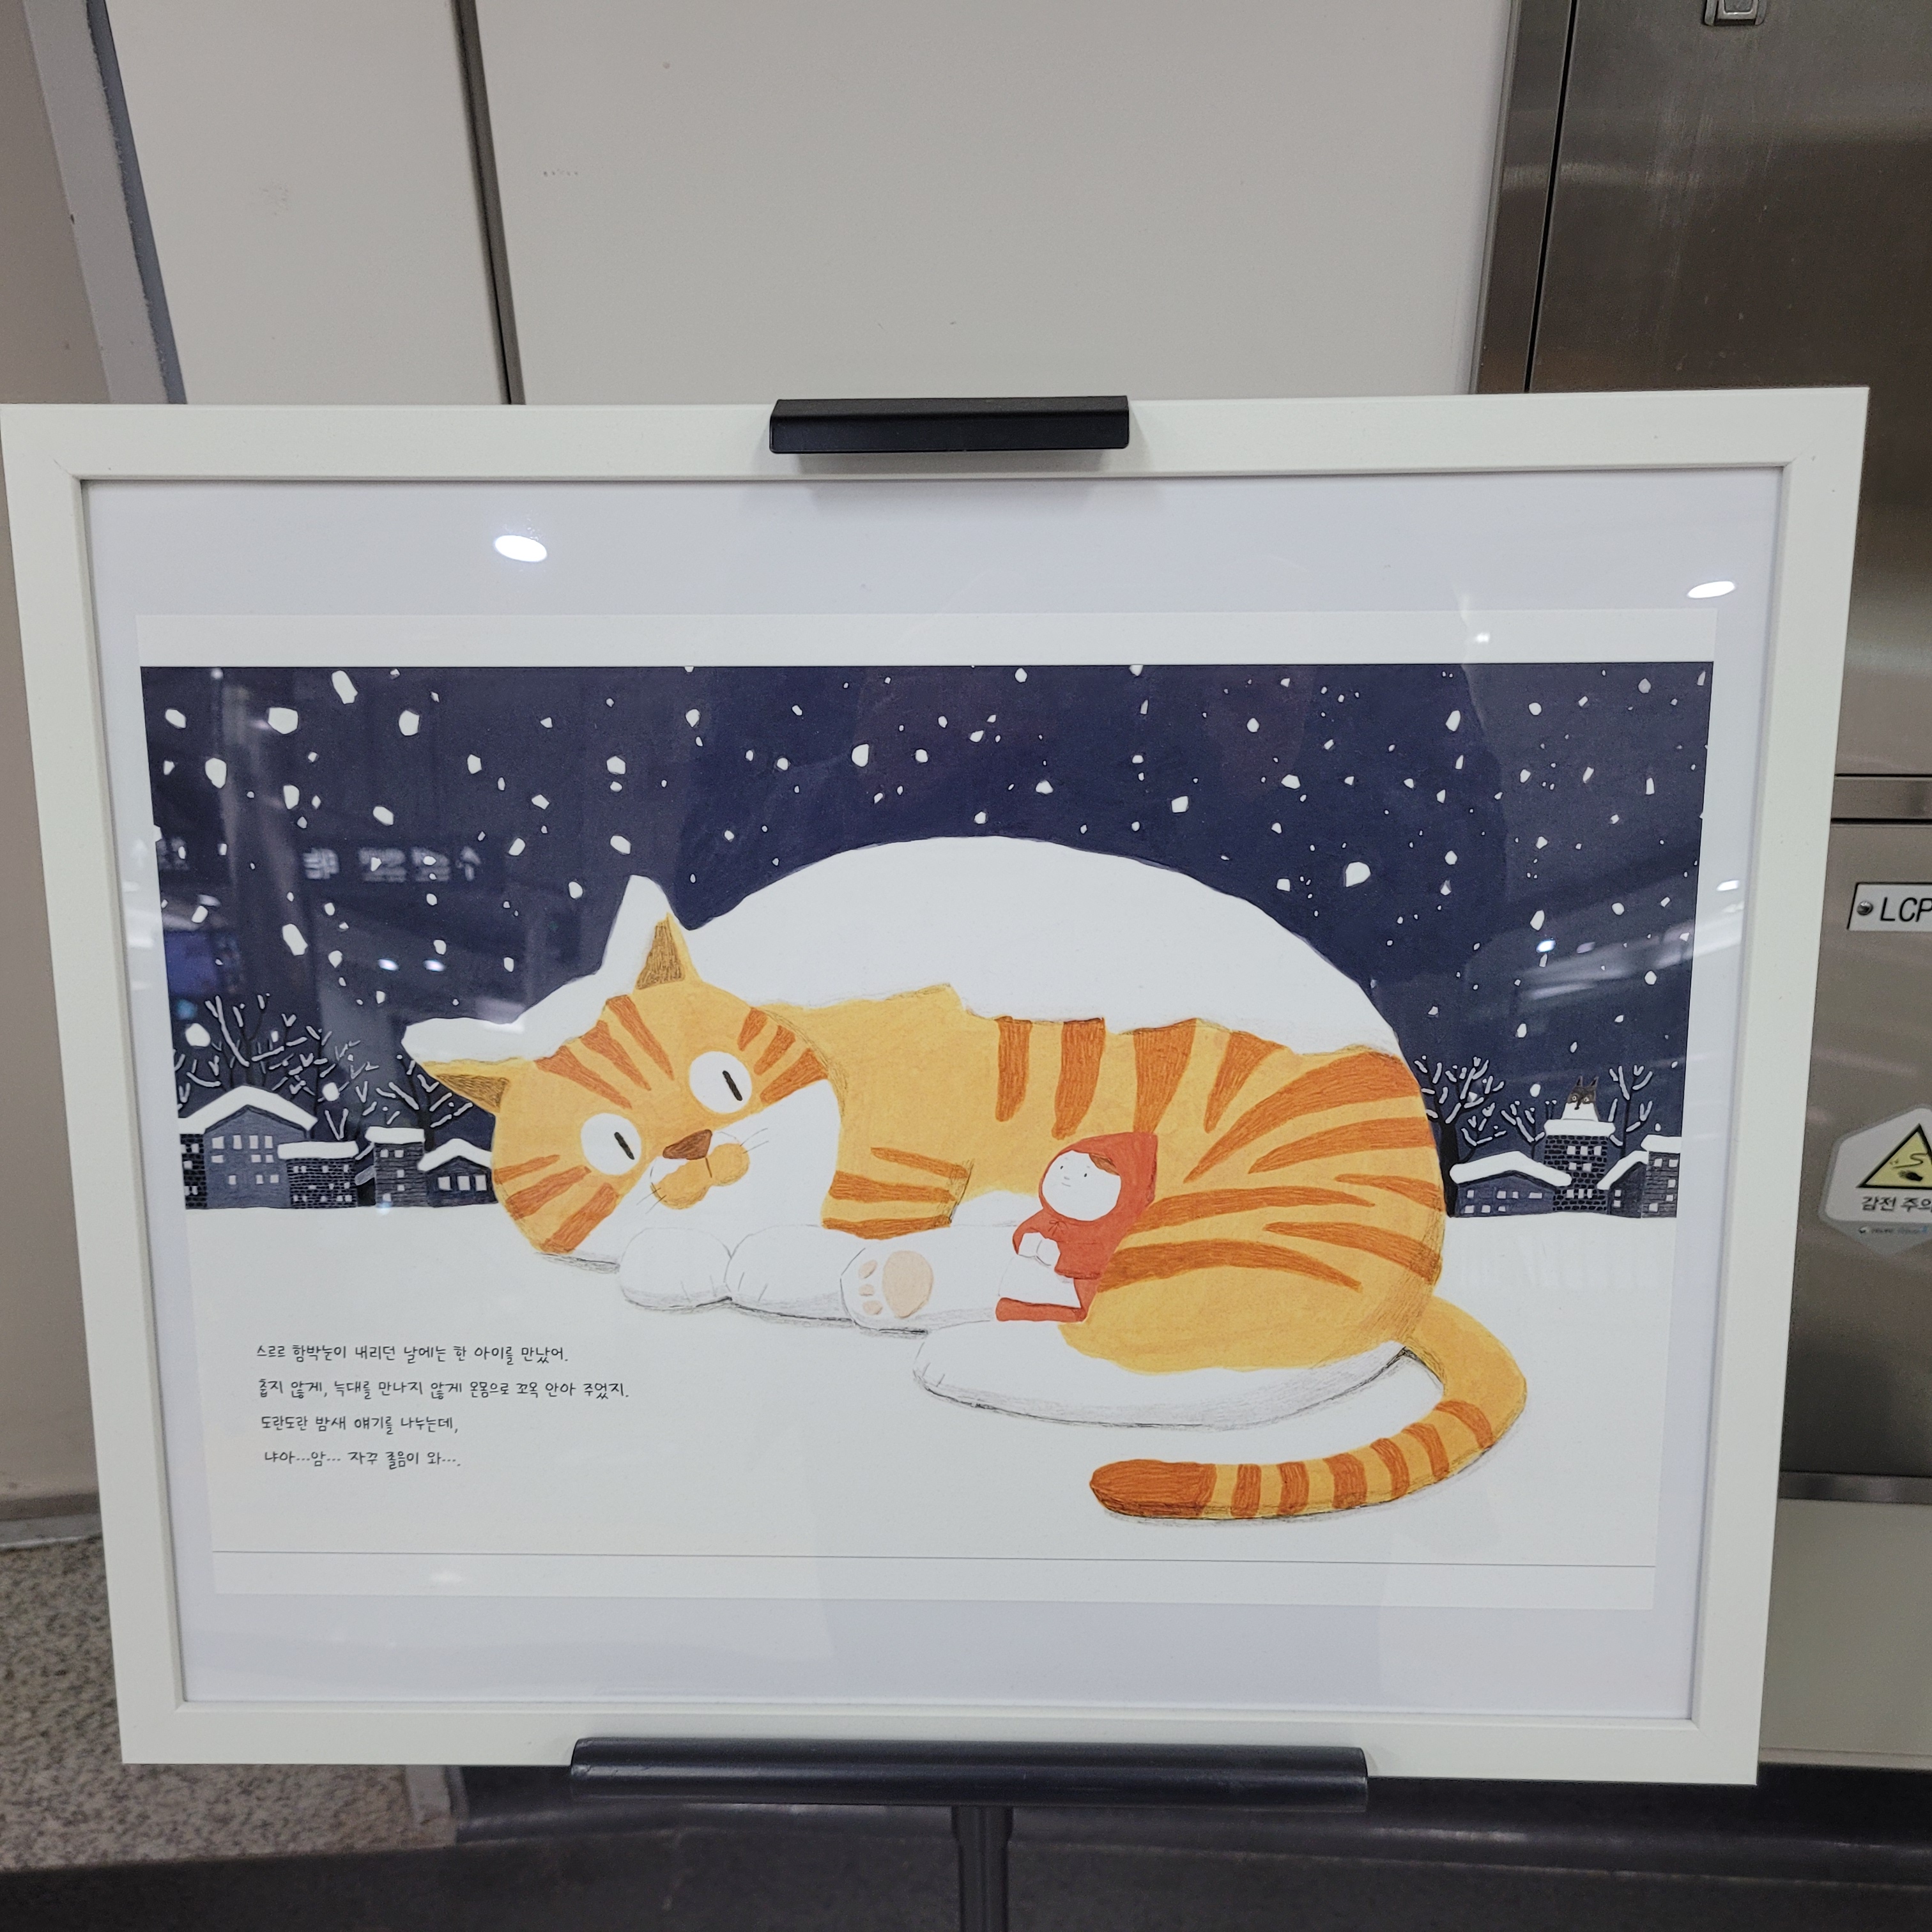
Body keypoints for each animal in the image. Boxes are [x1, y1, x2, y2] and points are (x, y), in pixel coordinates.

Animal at [414, 841, 1526, 1522]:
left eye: (722, 1083)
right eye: (614, 1145)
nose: (694, 1148)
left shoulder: (919, 1085)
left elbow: (860, 1201)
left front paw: (786, 1259)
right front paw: (687, 1253)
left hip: (1234, 1237)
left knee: (1188, 1360)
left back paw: (950, 1341)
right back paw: (905, 1289)